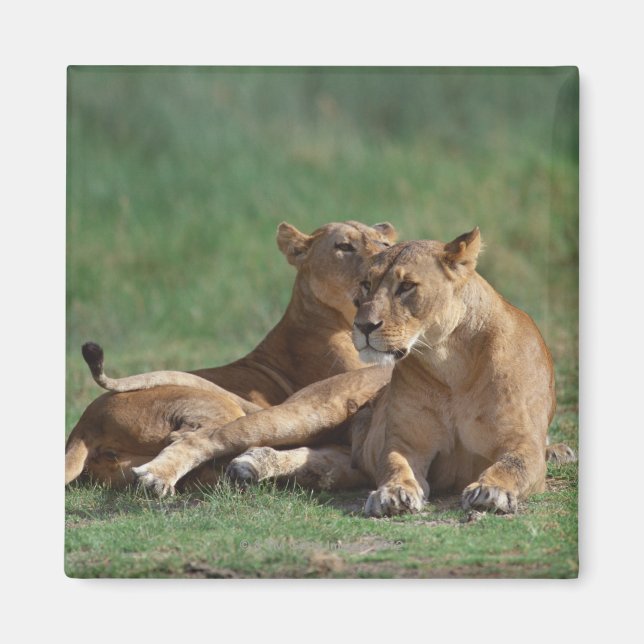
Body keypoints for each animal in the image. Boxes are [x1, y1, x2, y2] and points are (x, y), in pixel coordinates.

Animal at [133, 229, 575, 511]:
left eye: (406, 287)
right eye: (366, 285)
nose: (363, 326)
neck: (450, 361)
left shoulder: (523, 443)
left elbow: (512, 465)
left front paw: (490, 491)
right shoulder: (407, 443)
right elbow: (397, 466)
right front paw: (394, 495)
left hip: (344, 455)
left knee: (318, 459)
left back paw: (253, 464)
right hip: (307, 412)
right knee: (207, 436)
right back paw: (157, 476)